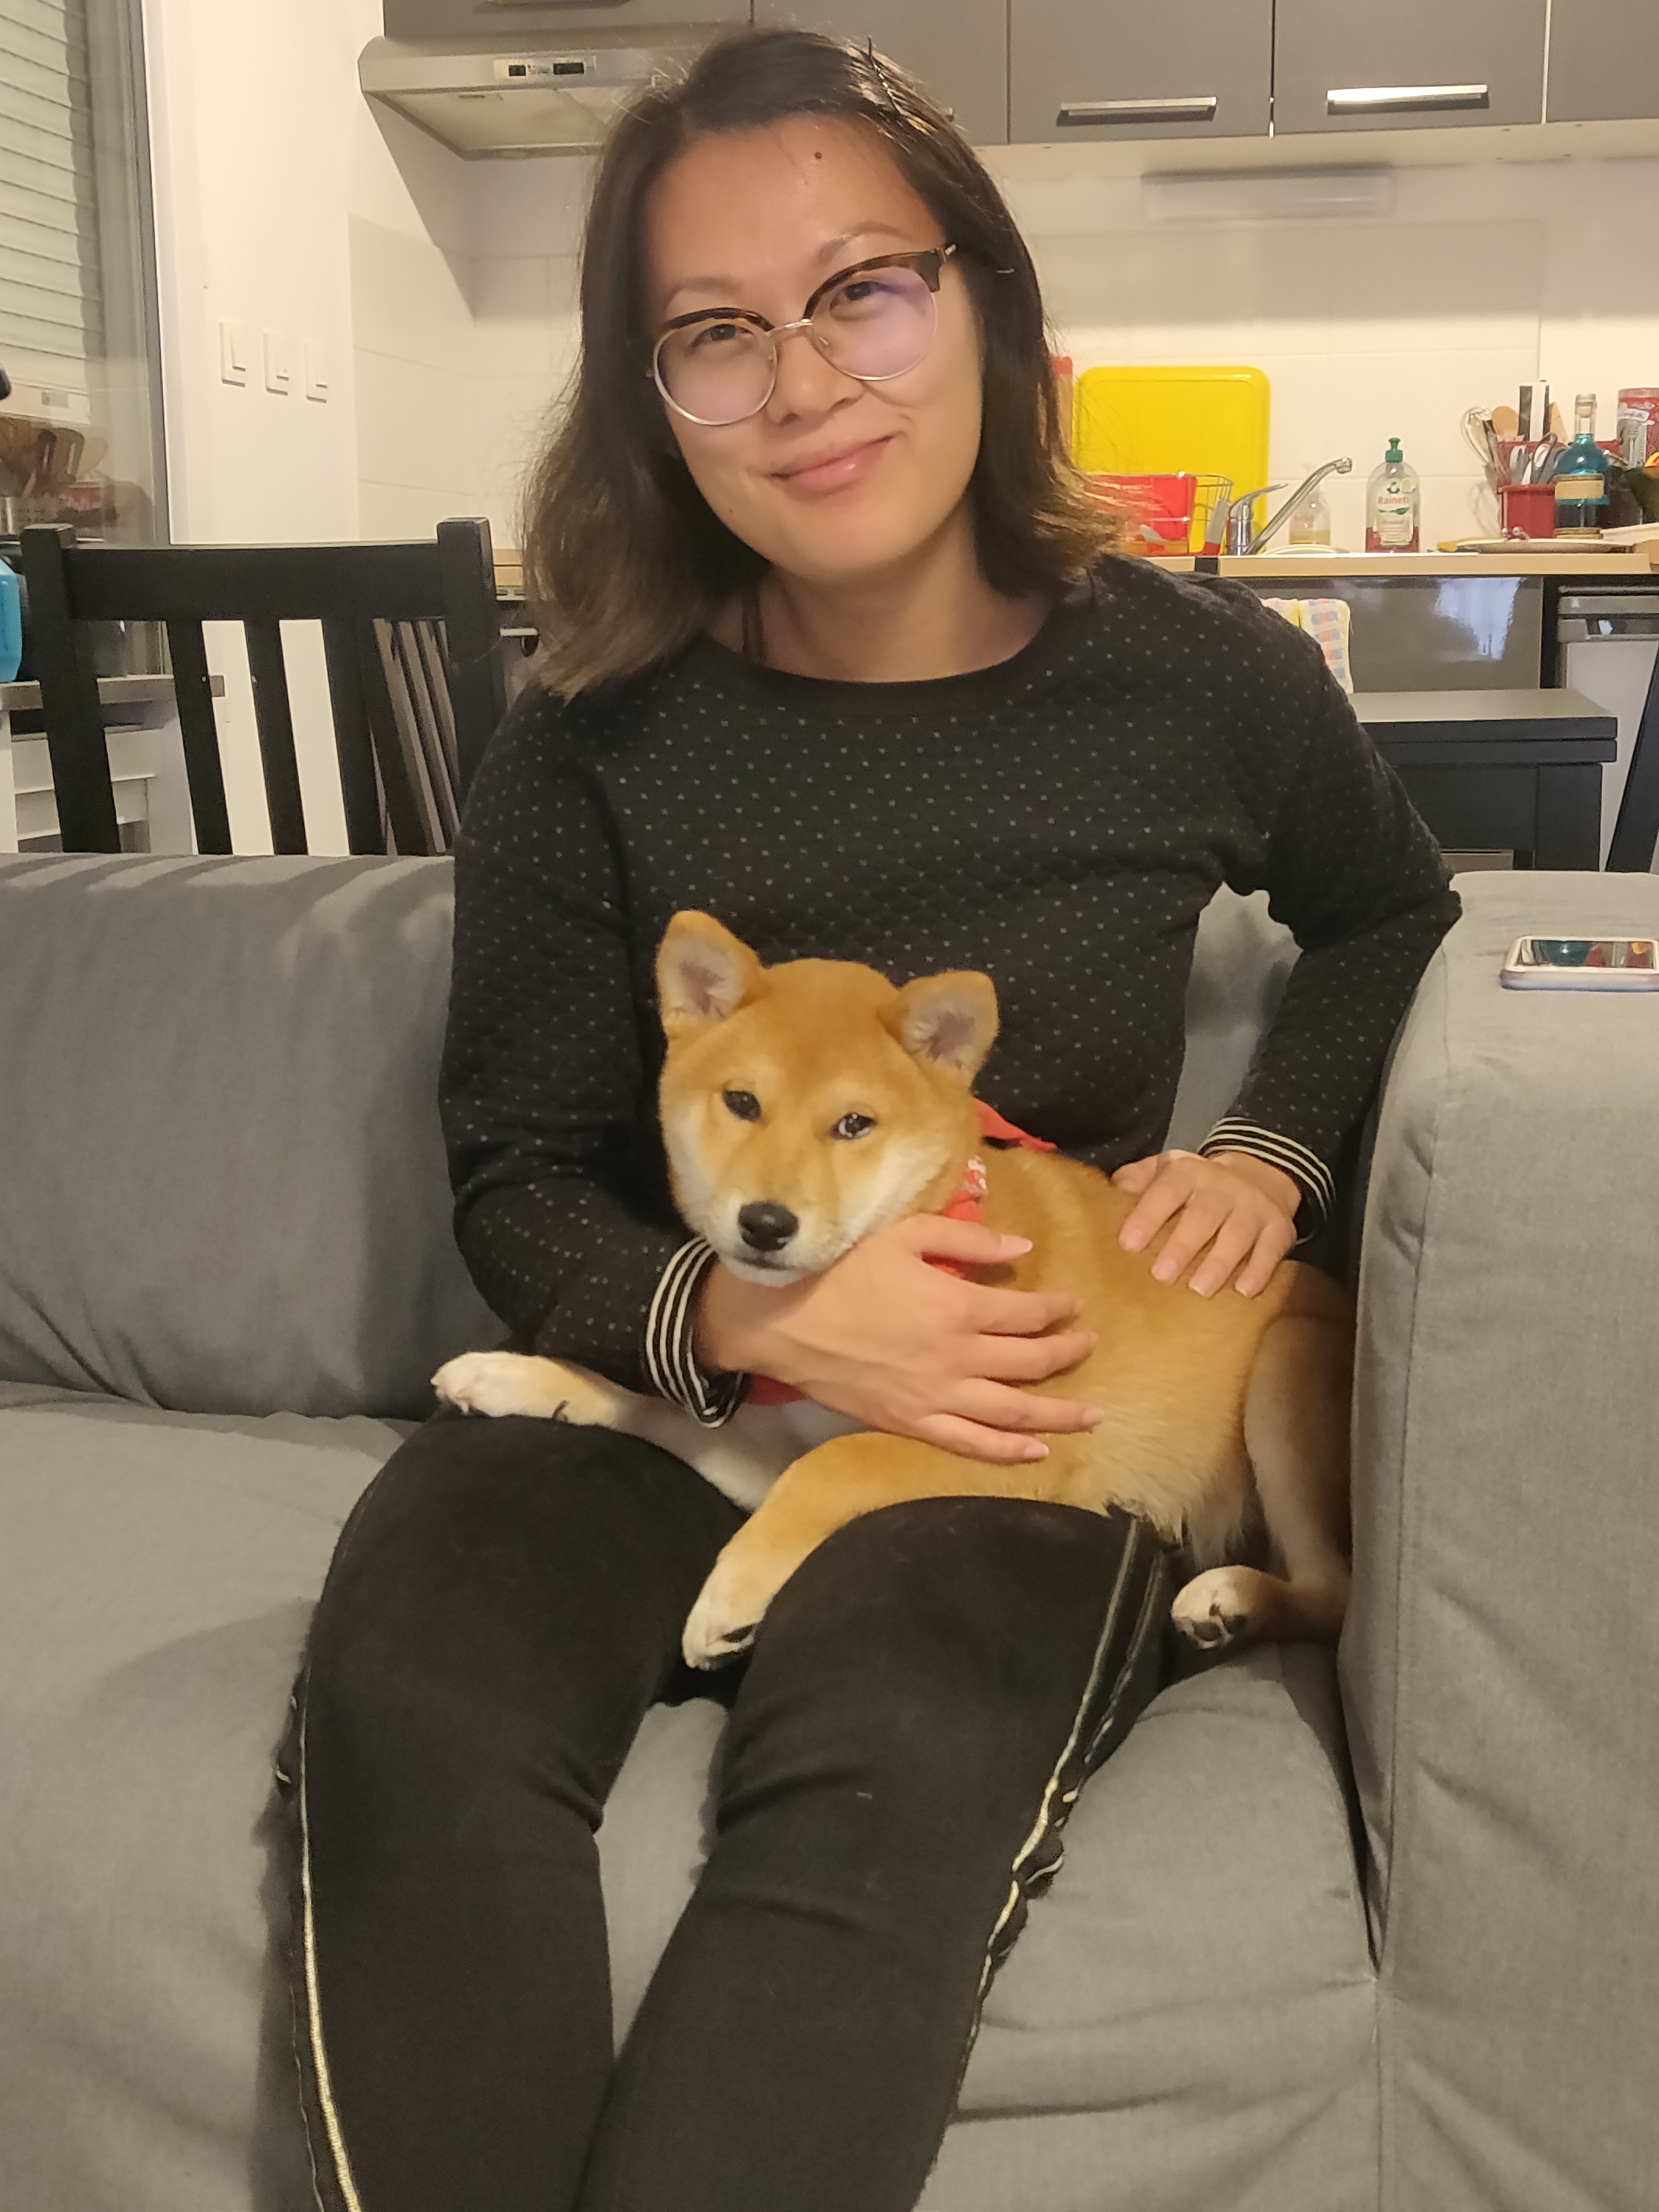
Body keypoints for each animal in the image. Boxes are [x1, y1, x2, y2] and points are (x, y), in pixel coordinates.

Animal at [435, 911, 1354, 1671]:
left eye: (854, 1125)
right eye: (742, 1102)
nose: (764, 1223)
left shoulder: (1022, 1446)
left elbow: (837, 1463)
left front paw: (727, 1597)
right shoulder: (764, 1454)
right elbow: (655, 1404)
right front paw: (518, 1377)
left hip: (1284, 1368)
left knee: (1334, 1593)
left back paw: (1231, 1599)